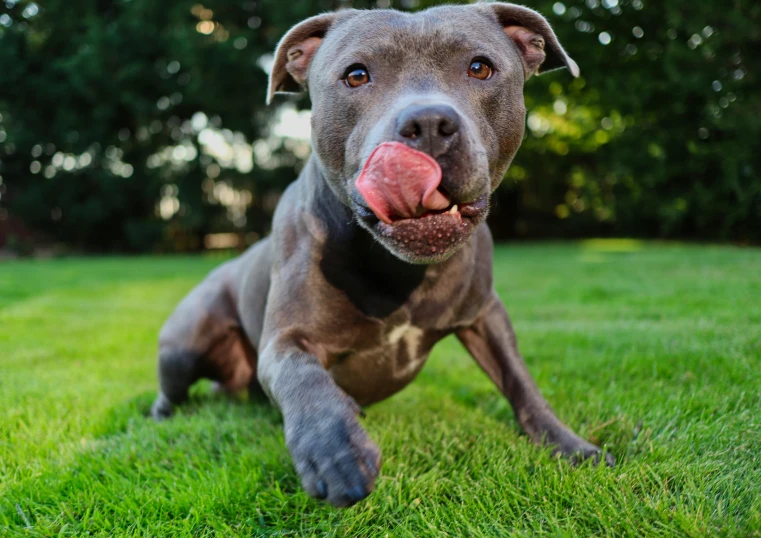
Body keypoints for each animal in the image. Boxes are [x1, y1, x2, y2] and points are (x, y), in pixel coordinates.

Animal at [151, 2, 616, 506]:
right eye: (356, 75)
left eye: (480, 67)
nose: (428, 123)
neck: (402, 271)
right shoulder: (286, 338)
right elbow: (303, 377)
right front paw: (334, 450)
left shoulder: (485, 314)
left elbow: (520, 382)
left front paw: (569, 445)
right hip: (183, 345)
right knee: (172, 388)